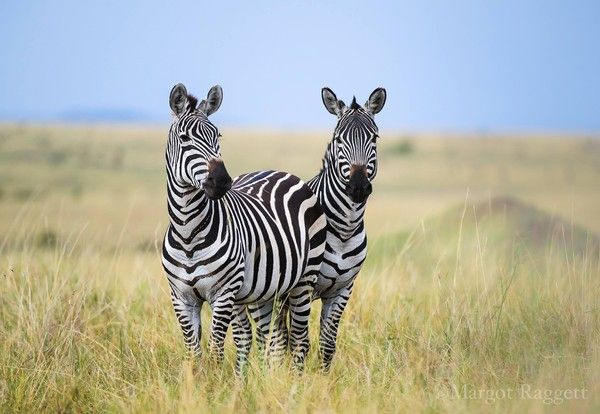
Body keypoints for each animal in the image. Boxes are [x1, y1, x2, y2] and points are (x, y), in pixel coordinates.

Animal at [162, 82, 326, 374]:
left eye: (218, 135)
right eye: (184, 138)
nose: (222, 181)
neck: (188, 233)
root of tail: (283, 173)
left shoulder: (223, 293)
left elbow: (215, 350)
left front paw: (214, 384)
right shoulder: (181, 297)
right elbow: (194, 352)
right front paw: (196, 383)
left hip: (304, 280)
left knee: (299, 339)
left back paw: (294, 381)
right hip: (264, 290)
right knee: (267, 339)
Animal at [310, 85, 390, 370]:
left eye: (374, 139)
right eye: (338, 140)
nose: (358, 187)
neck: (344, 228)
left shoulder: (343, 289)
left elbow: (327, 344)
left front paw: (323, 376)